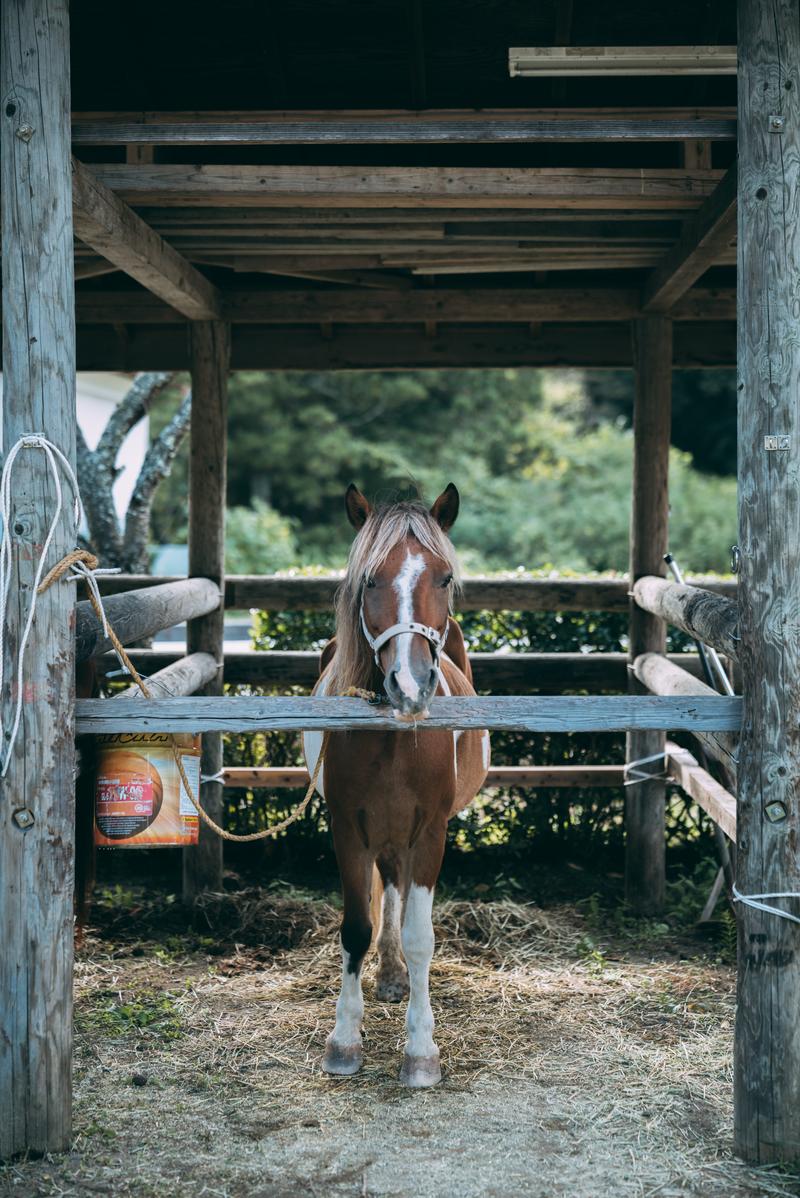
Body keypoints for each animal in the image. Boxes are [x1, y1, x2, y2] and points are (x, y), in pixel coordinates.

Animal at [303, 483, 489, 1087]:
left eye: (445, 578)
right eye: (368, 579)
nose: (409, 683)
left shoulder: (430, 831)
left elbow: (420, 934)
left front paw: (421, 1051)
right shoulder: (347, 828)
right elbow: (357, 928)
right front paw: (344, 1041)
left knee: (401, 894)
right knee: (387, 889)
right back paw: (387, 974)